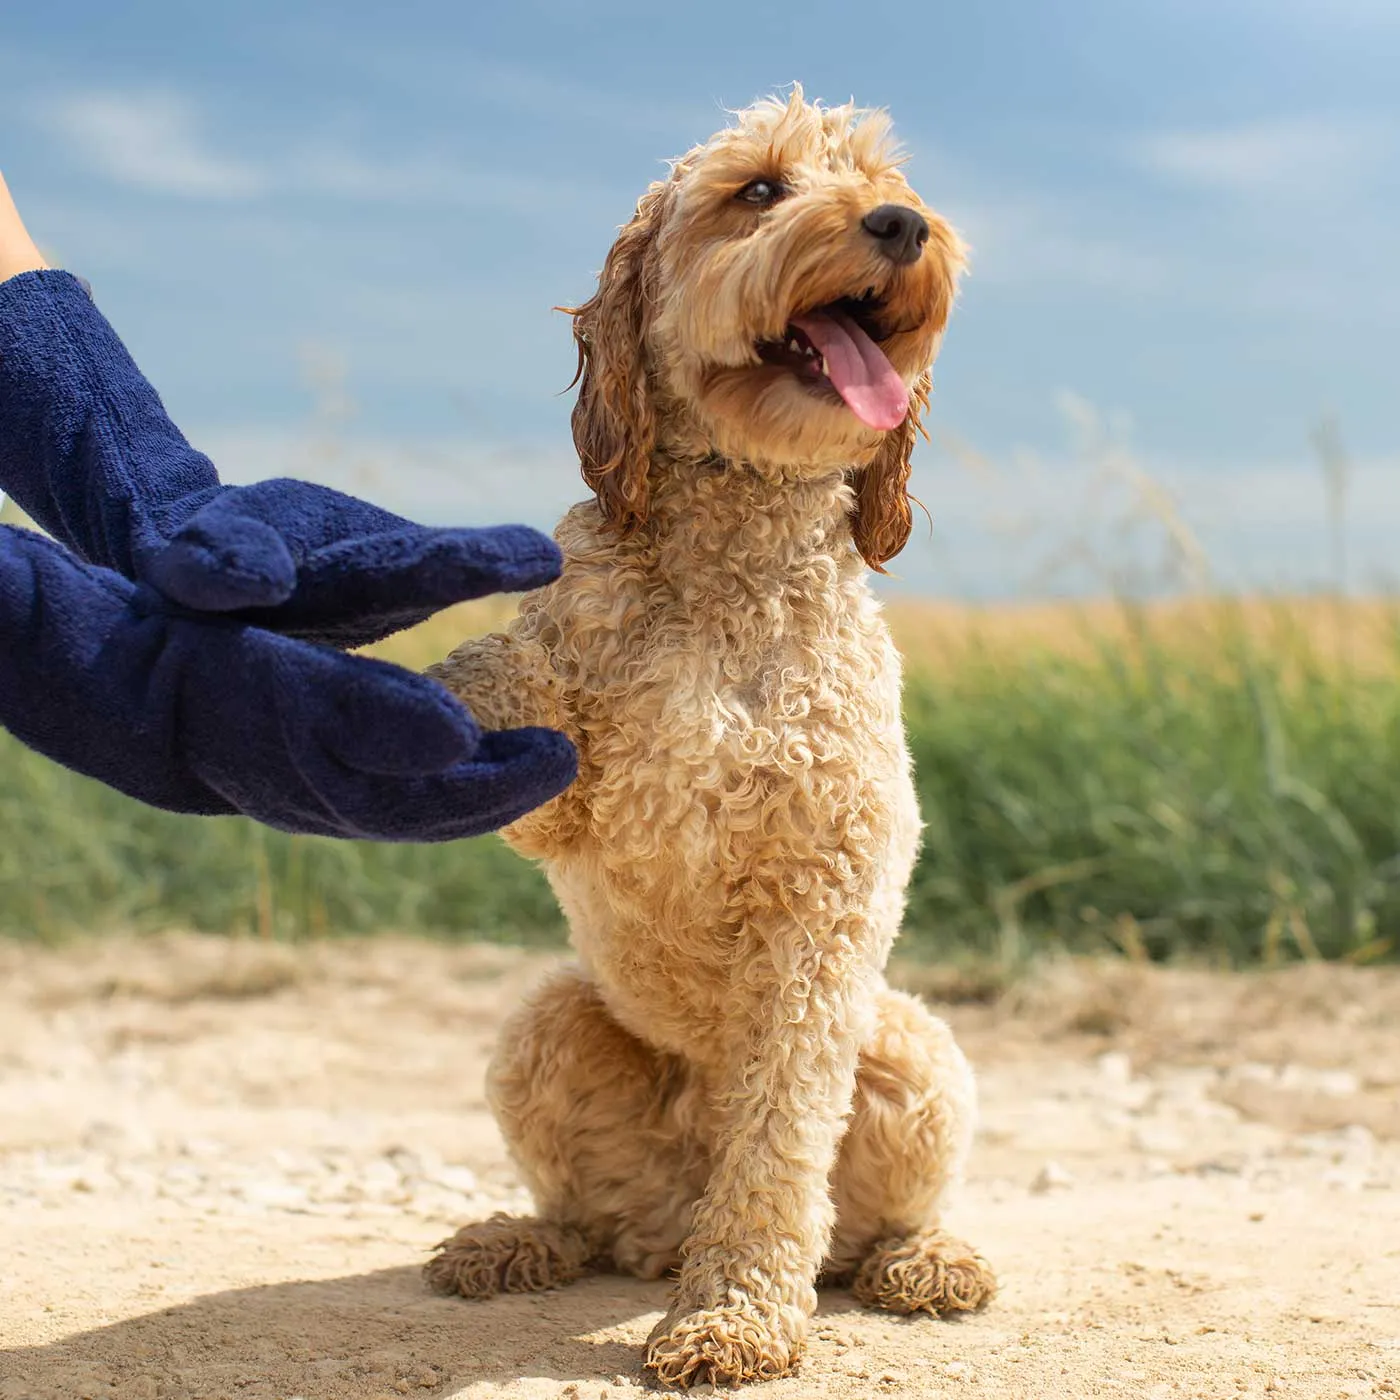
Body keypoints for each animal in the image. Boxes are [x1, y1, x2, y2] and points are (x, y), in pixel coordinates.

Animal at [420, 87, 991, 1388]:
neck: (740, 532)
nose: (899, 224)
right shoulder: (571, 769)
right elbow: (517, 678)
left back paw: (921, 1261)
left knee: (865, 1219)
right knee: (585, 1215)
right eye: (758, 190)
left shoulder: (820, 905)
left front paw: (734, 1314)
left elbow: (777, 1138)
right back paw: (515, 1240)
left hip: (908, 1044)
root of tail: (663, 1225)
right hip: (547, 1026)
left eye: (886, 181)